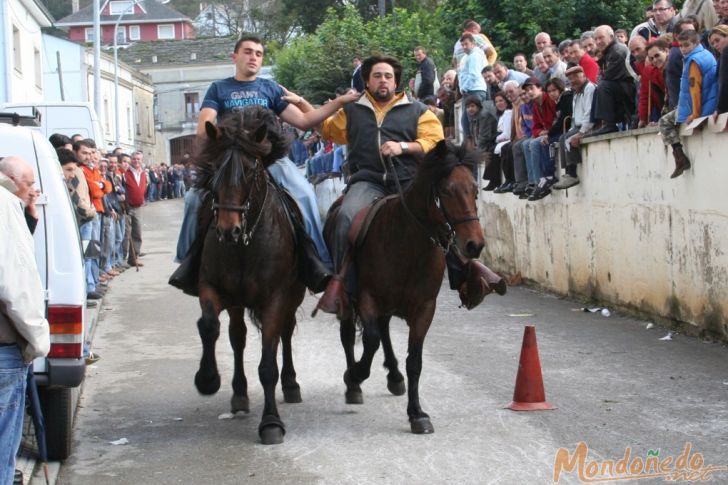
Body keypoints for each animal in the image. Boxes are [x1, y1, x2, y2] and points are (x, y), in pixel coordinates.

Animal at [192, 108, 306, 444]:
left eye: (251, 169)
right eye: (214, 168)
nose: (228, 230)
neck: (244, 245)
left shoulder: (276, 298)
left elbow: (268, 363)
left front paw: (271, 423)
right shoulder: (212, 287)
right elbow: (209, 325)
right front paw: (207, 379)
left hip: (293, 295)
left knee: (285, 333)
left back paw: (291, 384)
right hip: (237, 303)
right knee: (238, 337)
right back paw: (239, 395)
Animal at [326, 141, 490, 434]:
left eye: (474, 189)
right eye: (447, 190)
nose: (474, 244)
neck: (406, 243)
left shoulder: (425, 308)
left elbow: (414, 361)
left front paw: (417, 414)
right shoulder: (367, 297)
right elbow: (370, 341)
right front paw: (355, 374)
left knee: (384, 331)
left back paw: (394, 376)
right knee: (350, 335)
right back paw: (354, 385)